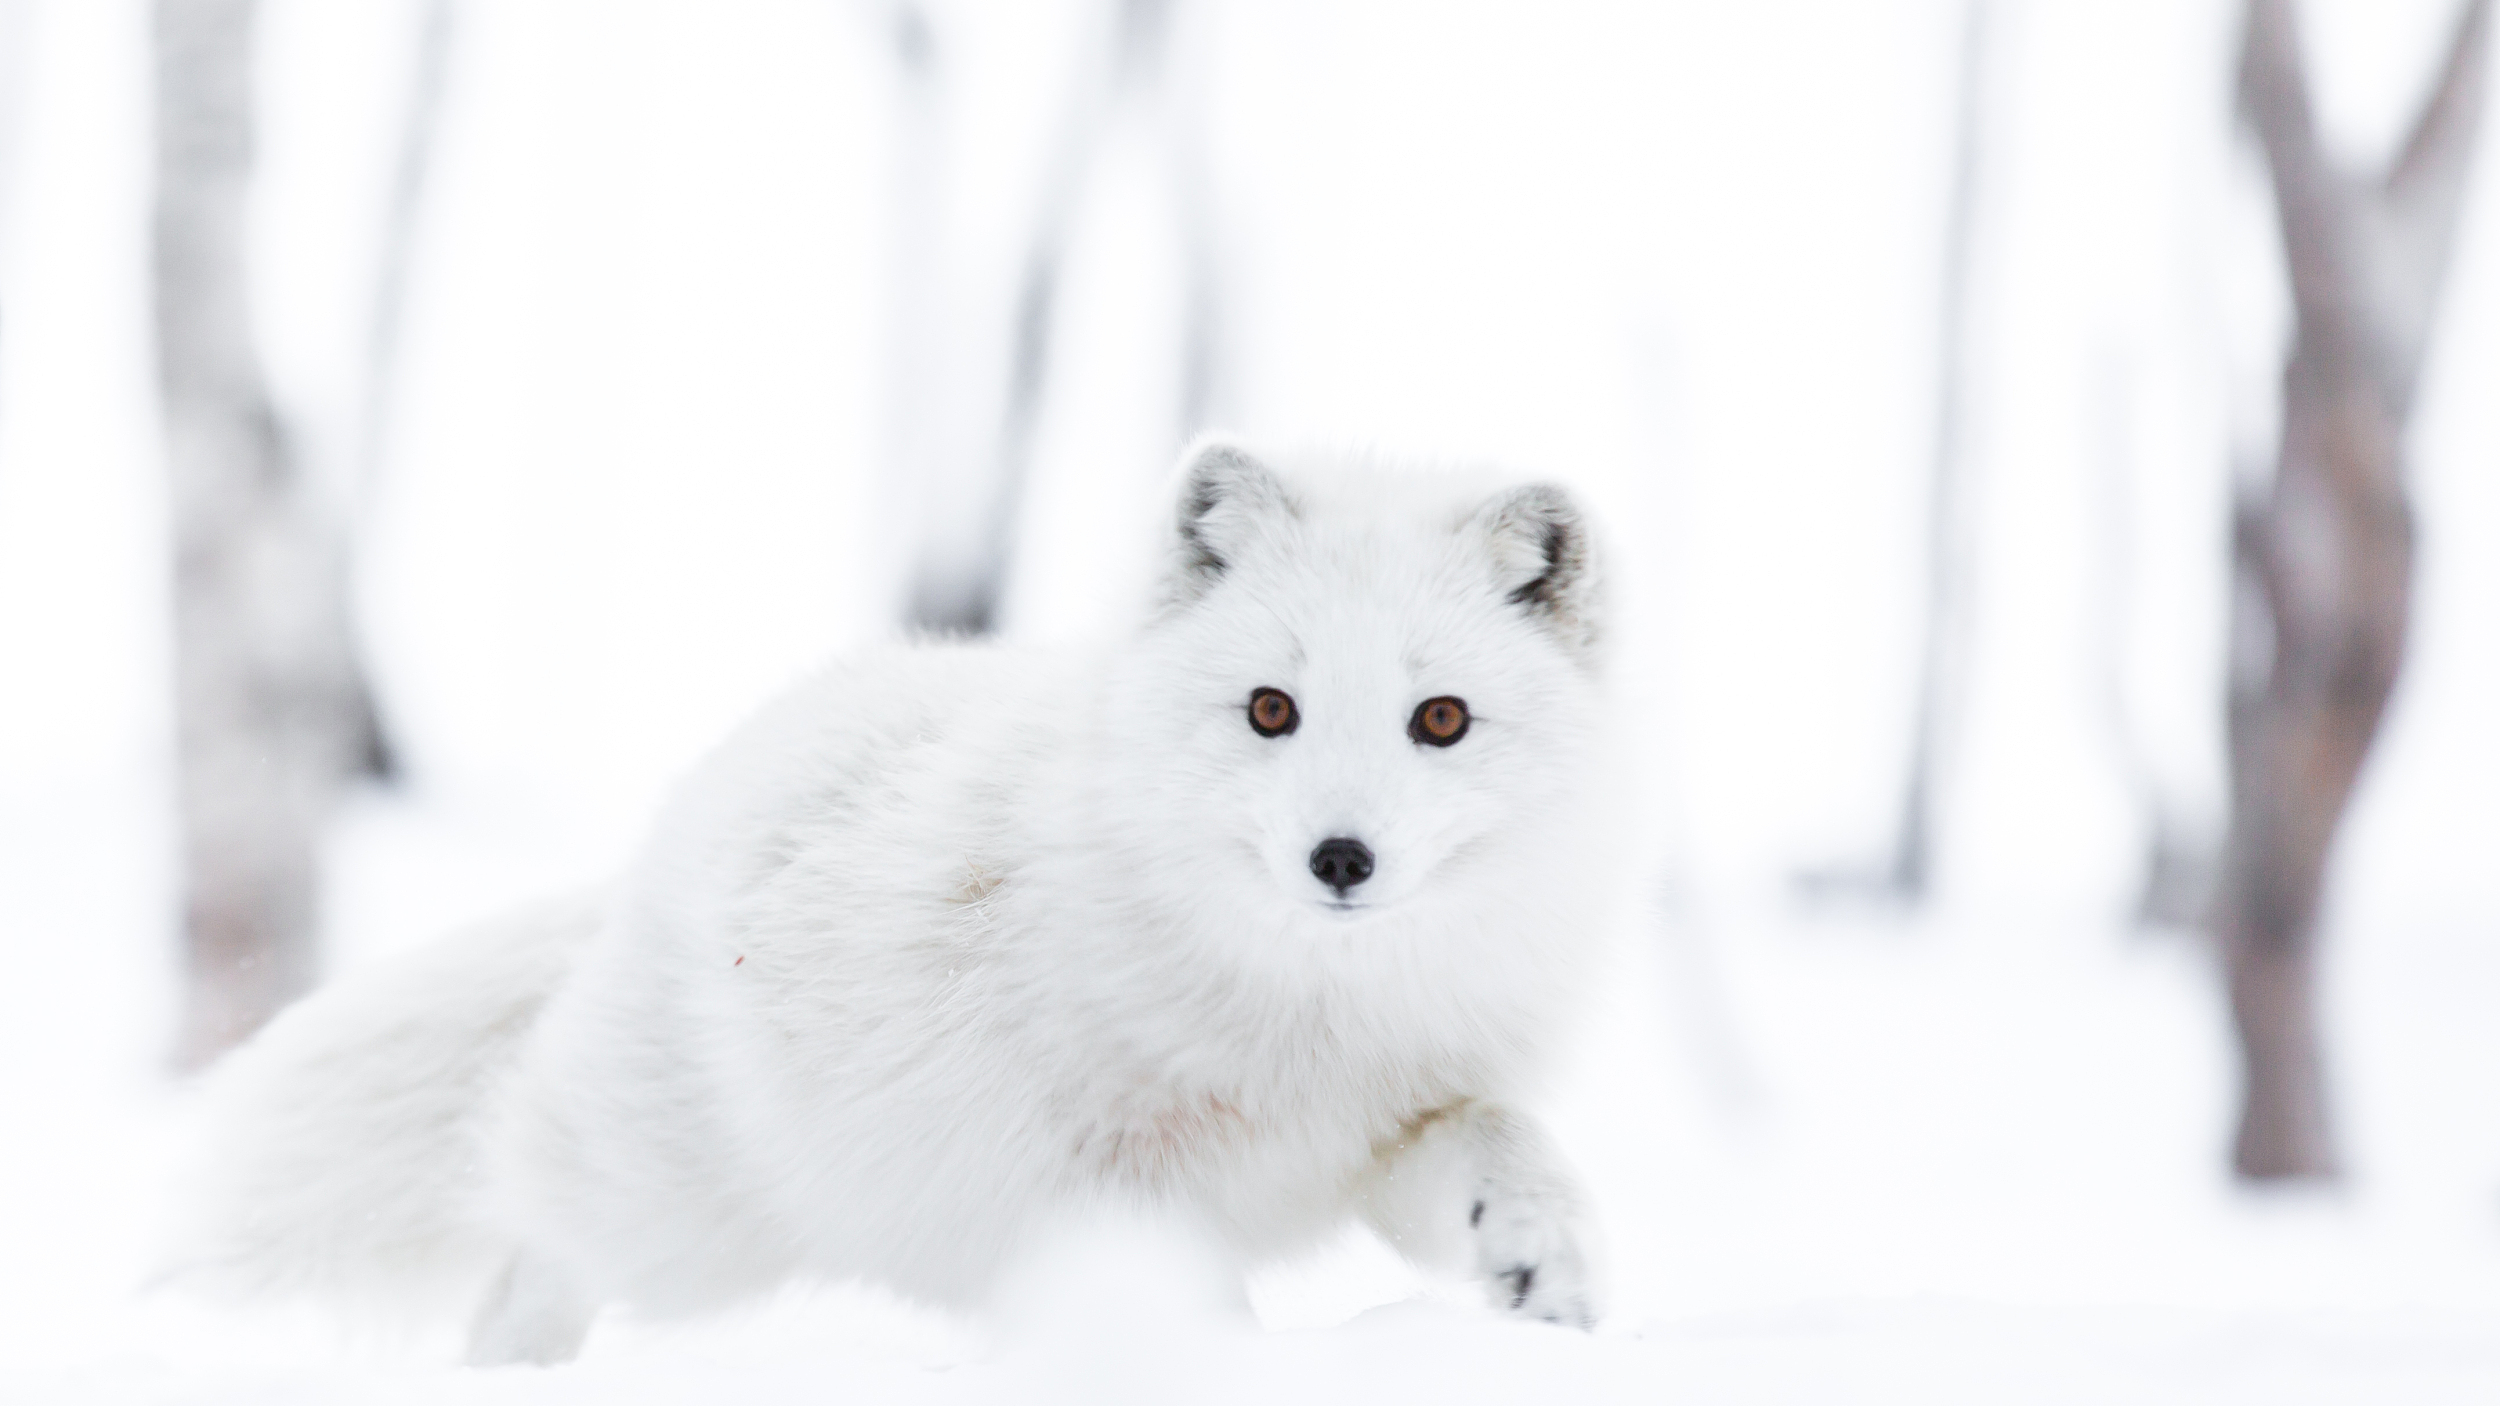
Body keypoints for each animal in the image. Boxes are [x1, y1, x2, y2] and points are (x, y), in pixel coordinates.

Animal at [176, 437, 1620, 1360]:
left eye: (1441, 718)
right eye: (1273, 709)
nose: (1340, 857)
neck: (1302, 1010)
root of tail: (666, 826)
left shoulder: (1382, 1122)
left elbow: (1500, 1140)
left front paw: (1544, 1263)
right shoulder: (1094, 1179)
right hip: (678, 1221)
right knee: (529, 1249)